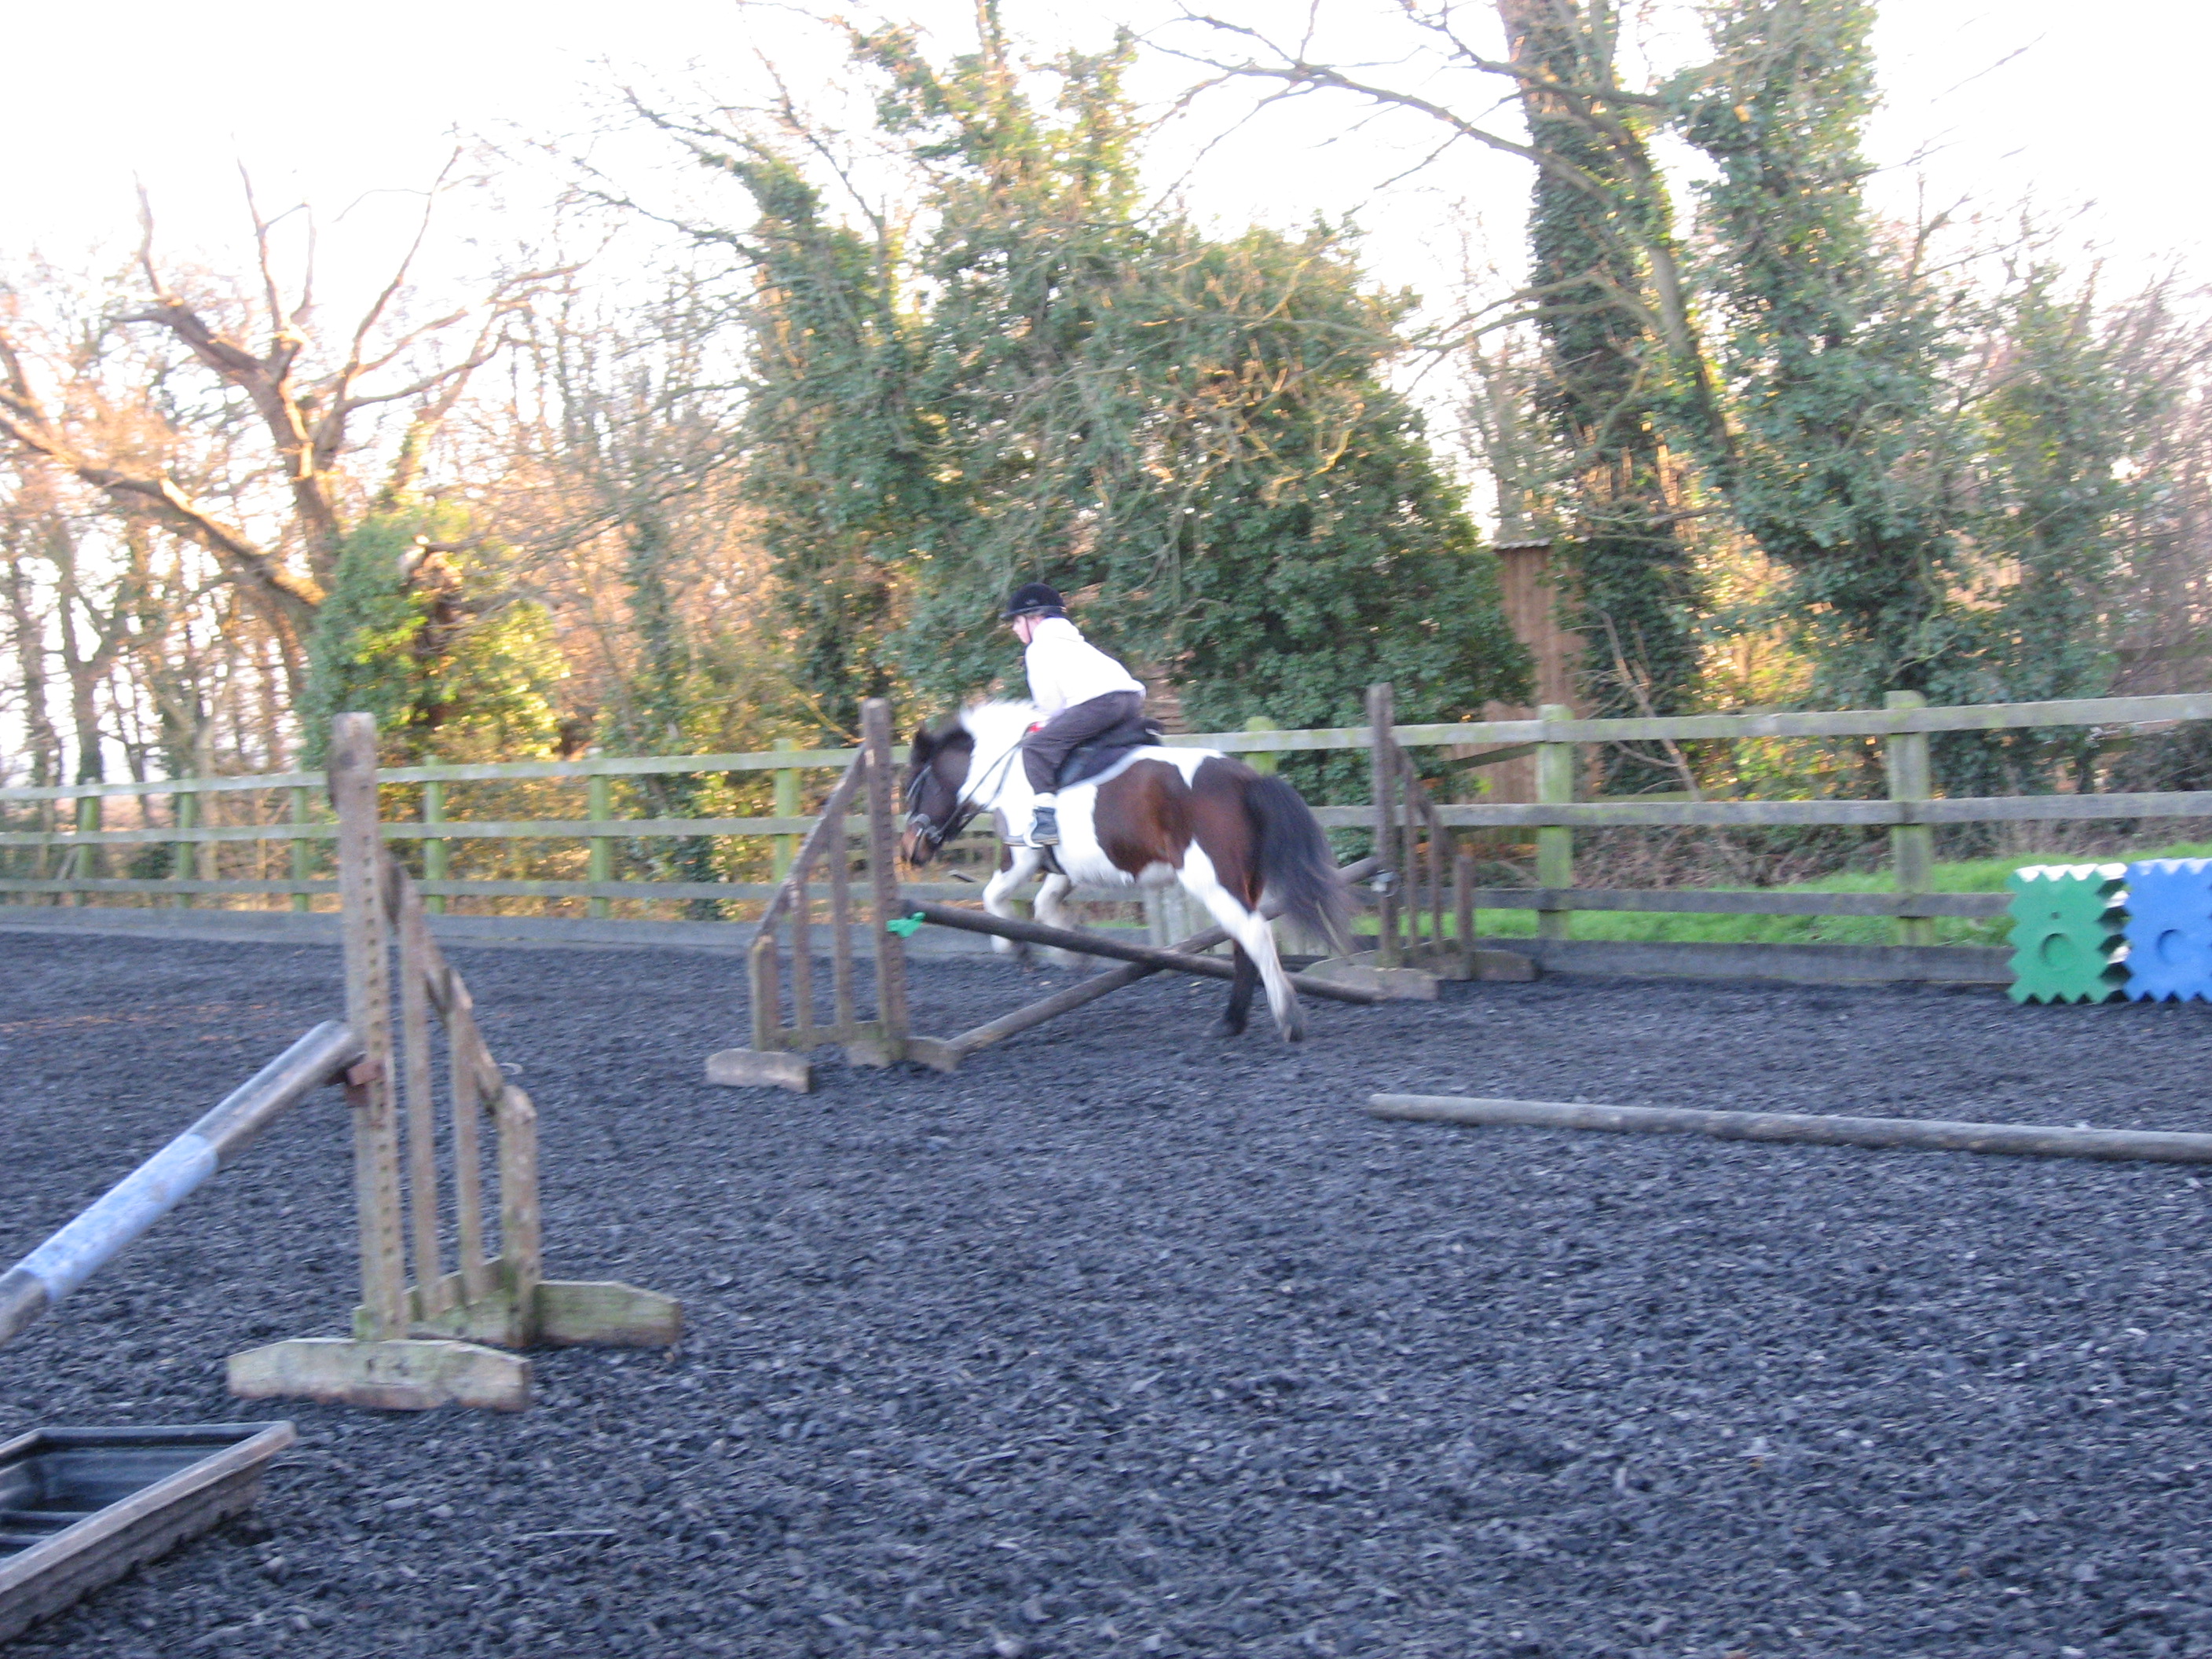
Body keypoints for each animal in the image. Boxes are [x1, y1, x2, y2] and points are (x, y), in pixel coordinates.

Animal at [899, 701, 1349, 1041]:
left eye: (912, 789)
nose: (909, 851)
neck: (1006, 772)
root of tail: (1246, 778)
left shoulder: (1022, 856)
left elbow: (992, 896)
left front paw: (1015, 947)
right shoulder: (1062, 866)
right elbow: (1045, 905)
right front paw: (1069, 951)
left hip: (1213, 880)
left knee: (1254, 934)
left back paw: (1287, 1017)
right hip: (1245, 881)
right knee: (1245, 942)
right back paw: (1230, 1022)